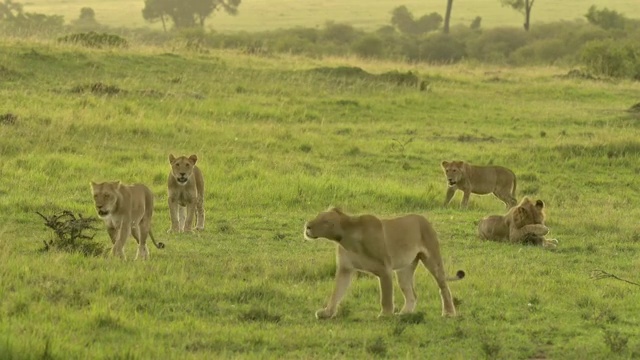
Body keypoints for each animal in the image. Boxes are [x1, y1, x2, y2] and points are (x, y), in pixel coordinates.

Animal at [304, 207, 464, 320]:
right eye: (317, 216)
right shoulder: (345, 269)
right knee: (411, 293)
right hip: (404, 270)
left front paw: (385, 314)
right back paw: (404, 314)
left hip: (432, 259)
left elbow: (386, 295)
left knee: (444, 287)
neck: (347, 239)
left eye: (325, 221)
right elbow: (336, 292)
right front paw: (327, 312)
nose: (307, 226)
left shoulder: (385, 268)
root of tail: (423, 219)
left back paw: (449, 313)